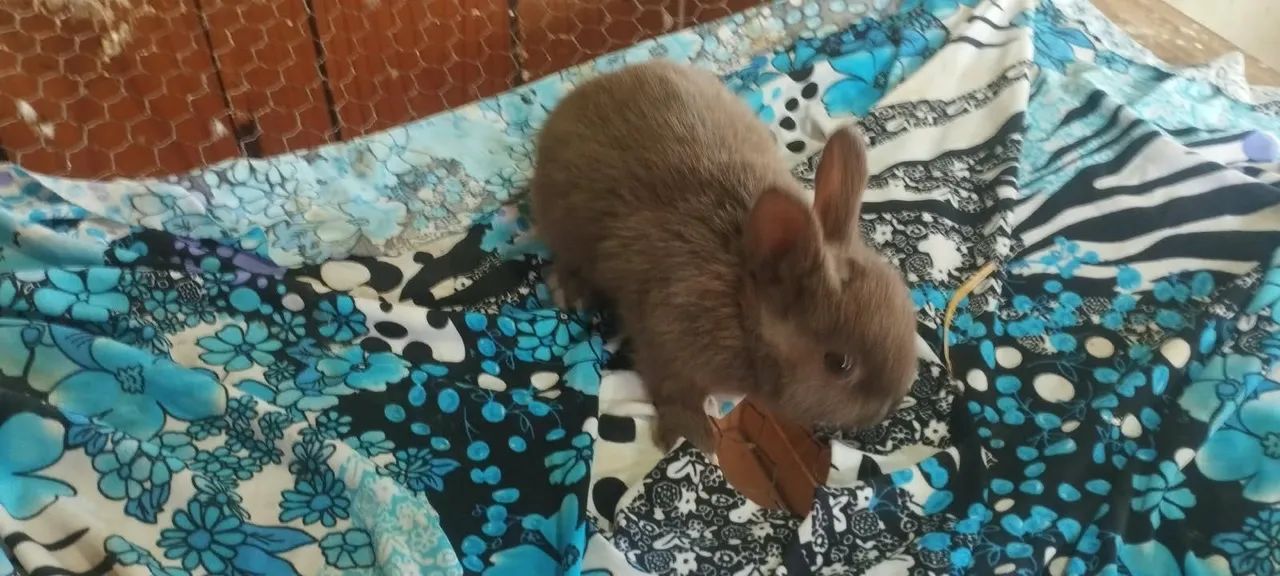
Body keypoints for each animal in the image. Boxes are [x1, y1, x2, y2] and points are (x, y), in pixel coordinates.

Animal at [530, 60, 918, 453]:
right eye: (838, 364)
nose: (888, 407)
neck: (743, 307)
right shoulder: (666, 344)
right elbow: (673, 391)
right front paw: (694, 435)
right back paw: (569, 291)